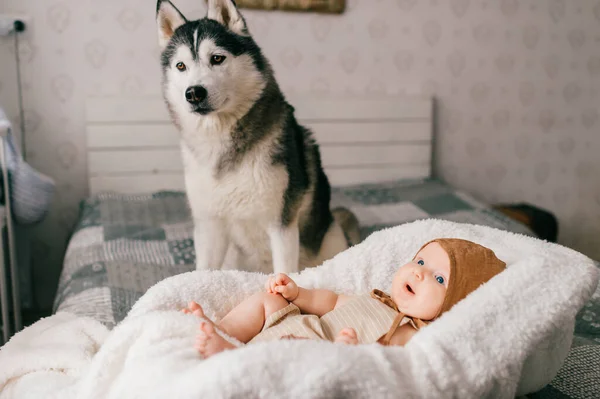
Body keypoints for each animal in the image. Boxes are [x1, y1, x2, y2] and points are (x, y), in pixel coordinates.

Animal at [157, 0, 358, 276]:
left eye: (217, 58)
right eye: (180, 66)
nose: (194, 93)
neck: (220, 139)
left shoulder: (282, 224)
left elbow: (285, 271)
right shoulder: (209, 226)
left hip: (330, 237)